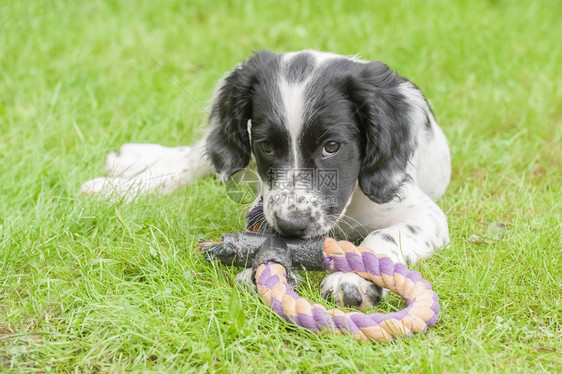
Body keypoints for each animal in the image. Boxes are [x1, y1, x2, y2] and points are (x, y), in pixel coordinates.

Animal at [81, 49, 450, 310]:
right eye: (266, 146)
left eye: (332, 146)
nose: (291, 225)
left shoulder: (425, 213)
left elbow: (381, 238)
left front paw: (352, 278)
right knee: (198, 156)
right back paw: (123, 177)